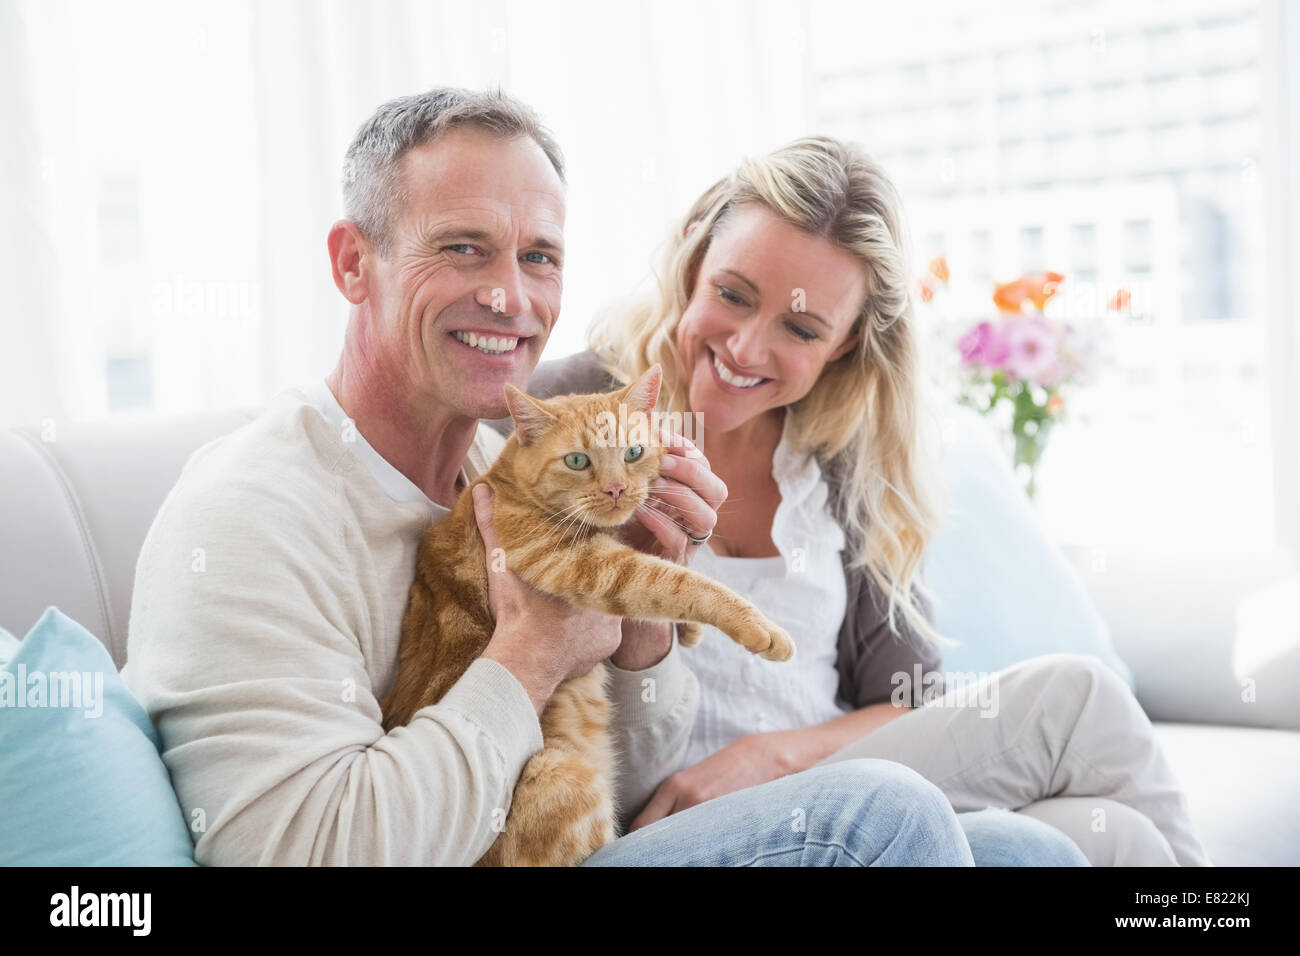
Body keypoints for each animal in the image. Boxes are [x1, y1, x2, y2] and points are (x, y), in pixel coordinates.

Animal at [379, 361, 795, 868]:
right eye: (578, 461)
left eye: (633, 453)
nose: (616, 489)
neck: (508, 483)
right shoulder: (589, 566)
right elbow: (678, 583)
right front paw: (761, 628)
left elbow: (672, 572)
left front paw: (691, 631)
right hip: (560, 773)